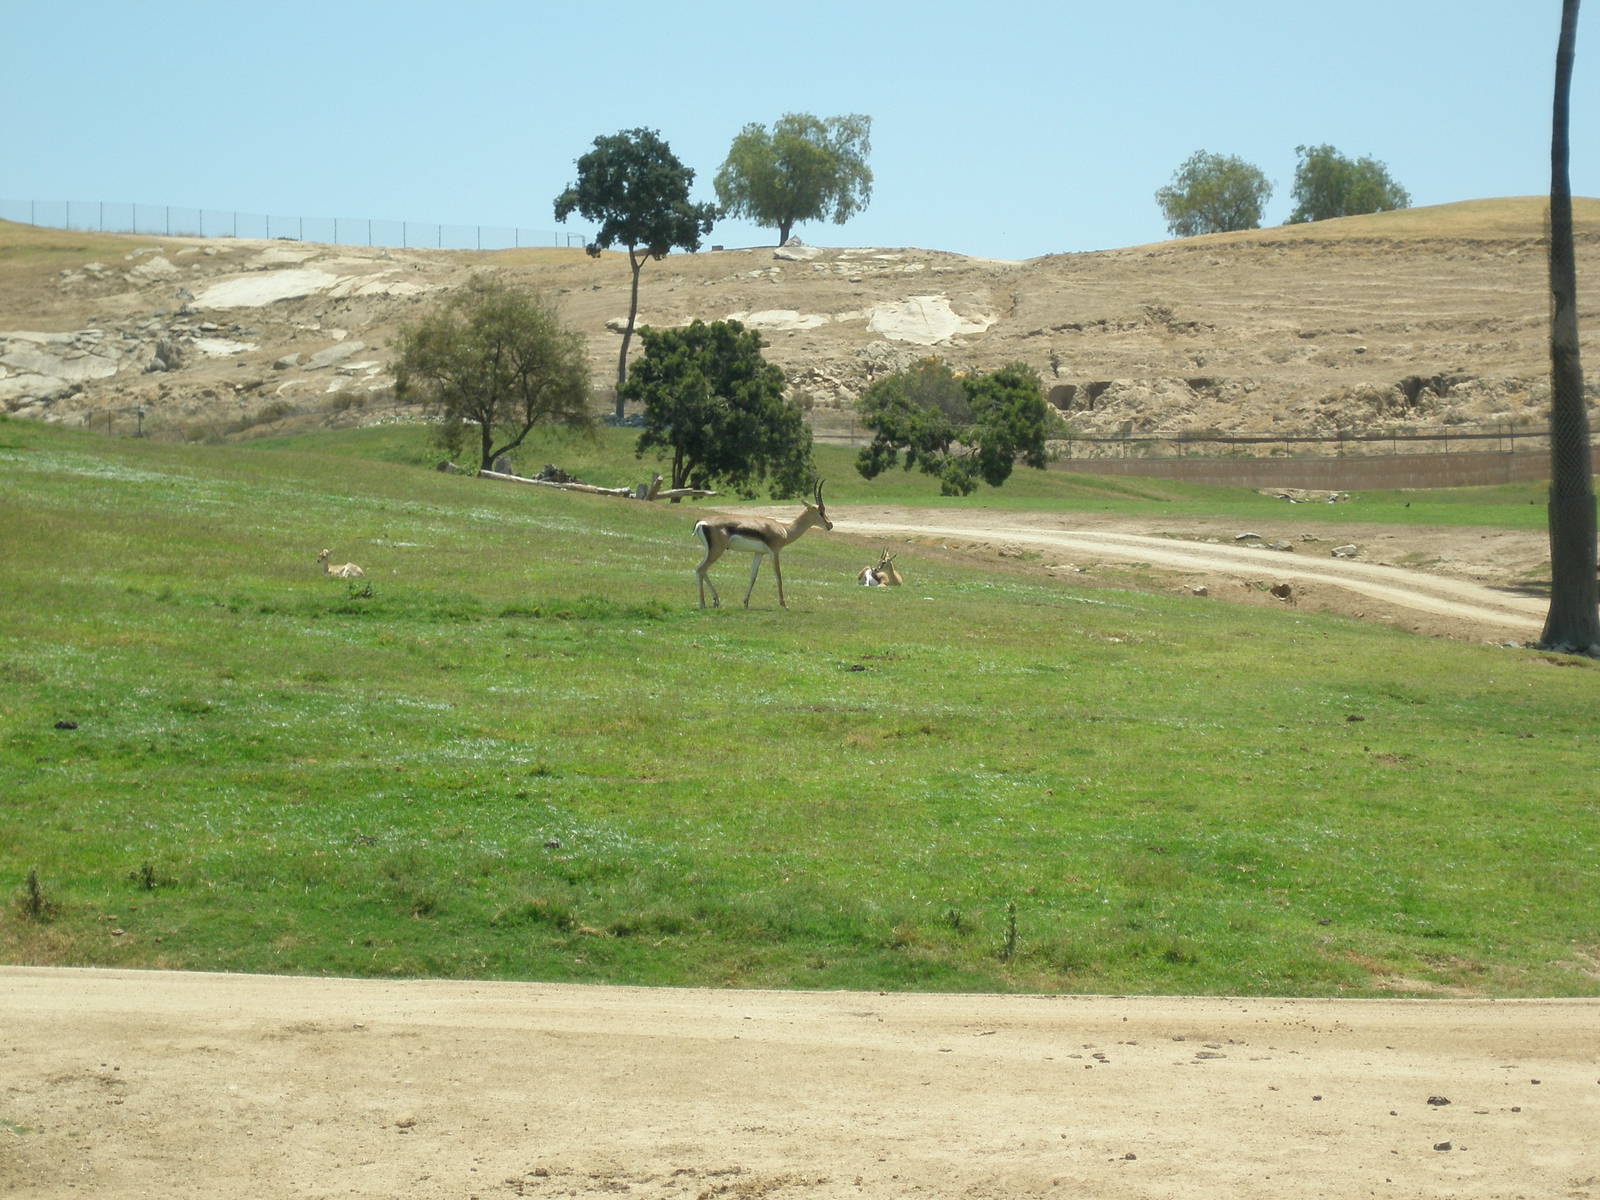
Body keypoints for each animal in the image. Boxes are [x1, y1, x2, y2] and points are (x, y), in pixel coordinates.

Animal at [693, 481, 832, 609]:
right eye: (820, 511)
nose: (830, 525)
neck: (785, 529)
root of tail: (701, 523)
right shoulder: (774, 551)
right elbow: (778, 576)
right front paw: (784, 604)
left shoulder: (759, 553)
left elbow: (753, 576)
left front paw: (746, 602)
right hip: (717, 550)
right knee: (701, 569)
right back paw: (703, 604)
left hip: (711, 551)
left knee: (700, 569)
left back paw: (715, 600)